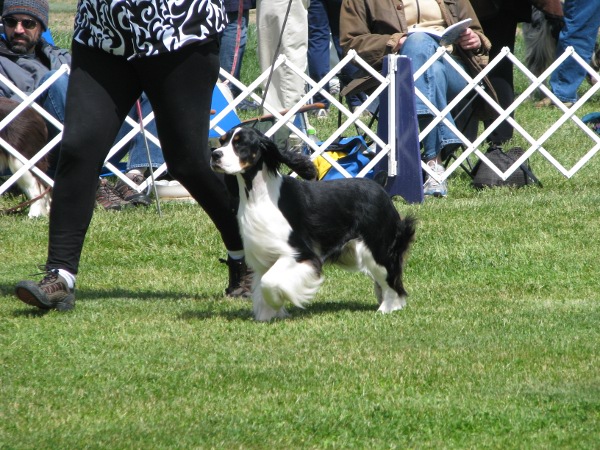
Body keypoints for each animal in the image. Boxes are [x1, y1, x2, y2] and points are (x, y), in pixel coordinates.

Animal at [212, 126, 418, 322]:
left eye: (240, 144)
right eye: (222, 141)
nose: (215, 154)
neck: (259, 196)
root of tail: (379, 185)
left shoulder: (301, 254)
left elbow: (269, 283)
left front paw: (279, 301)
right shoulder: (263, 255)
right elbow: (262, 285)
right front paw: (267, 315)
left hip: (377, 247)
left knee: (391, 278)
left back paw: (387, 308)